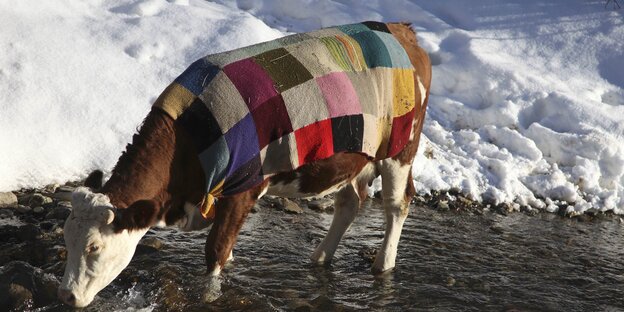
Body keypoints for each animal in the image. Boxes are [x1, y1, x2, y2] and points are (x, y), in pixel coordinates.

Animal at [58, 21, 428, 308]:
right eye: (66, 237)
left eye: (94, 246)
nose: (66, 296)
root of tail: (402, 30)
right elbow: (227, 252)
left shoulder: (245, 187)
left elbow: (215, 252)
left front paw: (210, 297)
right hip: (354, 158)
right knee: (350, 202)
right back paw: (320, 257)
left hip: (400, 147)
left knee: (397, 203)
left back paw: (382, 264)